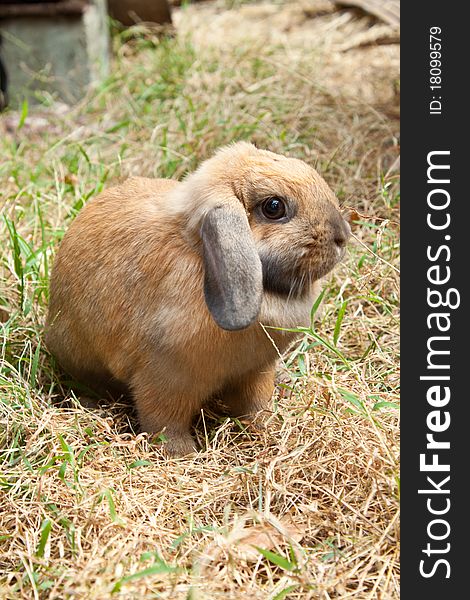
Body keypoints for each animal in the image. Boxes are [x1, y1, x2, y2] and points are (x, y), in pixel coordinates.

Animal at [46, 143, 348, 458]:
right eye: (274, 207)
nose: (342, 236)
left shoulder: (256, 372)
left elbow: (255, 406)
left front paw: (264, 429)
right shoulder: (165, 379)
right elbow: (164, 421)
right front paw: (182, 454)